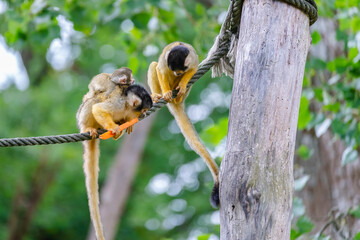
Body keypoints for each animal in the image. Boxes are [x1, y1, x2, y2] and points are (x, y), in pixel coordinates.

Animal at [77, 67, 152, 240]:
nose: (144, 114)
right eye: (144, 109)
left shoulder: (129, 112)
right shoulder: (119, 102)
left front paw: (124, 127)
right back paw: (89, 128)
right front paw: (115, 128)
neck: (127, 105)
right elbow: (99, 108)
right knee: (94, 101)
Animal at [146, 42, 219, 207]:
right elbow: (160, 69)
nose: (178, 73)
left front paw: (184, 83)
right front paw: (166, 92)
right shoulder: (166, 62)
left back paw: (178, 95)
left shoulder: (192, 59)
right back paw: (159, 96)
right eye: (175, 69)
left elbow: (193, 69)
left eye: (181, 70)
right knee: (154, 66)